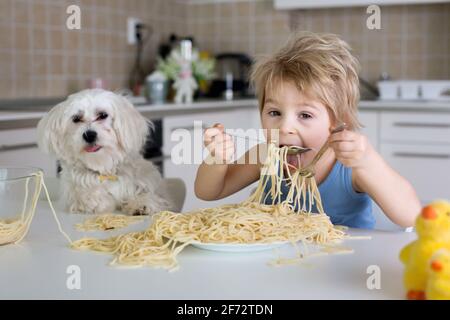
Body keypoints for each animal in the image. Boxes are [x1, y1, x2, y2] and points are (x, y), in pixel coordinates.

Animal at [36, 88, 174, 215]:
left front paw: (142, 203)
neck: (104, 167)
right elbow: (87, 196)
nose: (89, 135)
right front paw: (96, 201)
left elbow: (144, 193)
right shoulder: (74, 192)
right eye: (76, 119)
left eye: (102, 115)